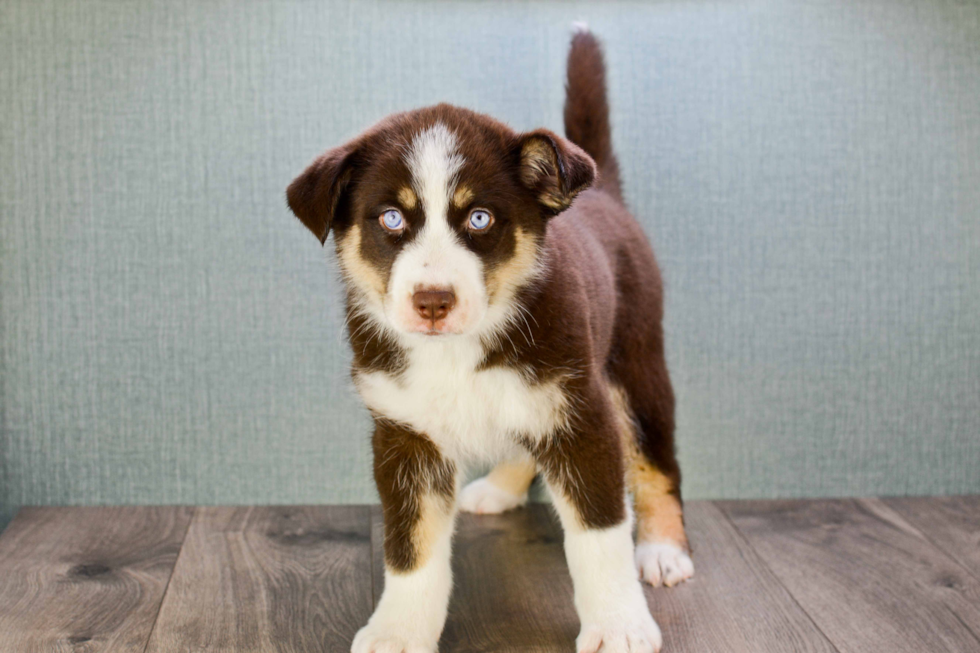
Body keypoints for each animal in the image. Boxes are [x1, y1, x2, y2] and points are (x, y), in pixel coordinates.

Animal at [288, 26, 692, 652]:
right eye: (390, 219)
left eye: (479, 218)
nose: (433, 301)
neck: (456, 350)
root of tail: (607, 197)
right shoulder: (405, 436)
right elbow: (411, 550)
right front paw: (398, 631)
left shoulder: (582, 414)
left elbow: (599, 535)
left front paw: (619, 626)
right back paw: (499, 487)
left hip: (636, 362)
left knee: (656, 461)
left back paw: (663, 551)